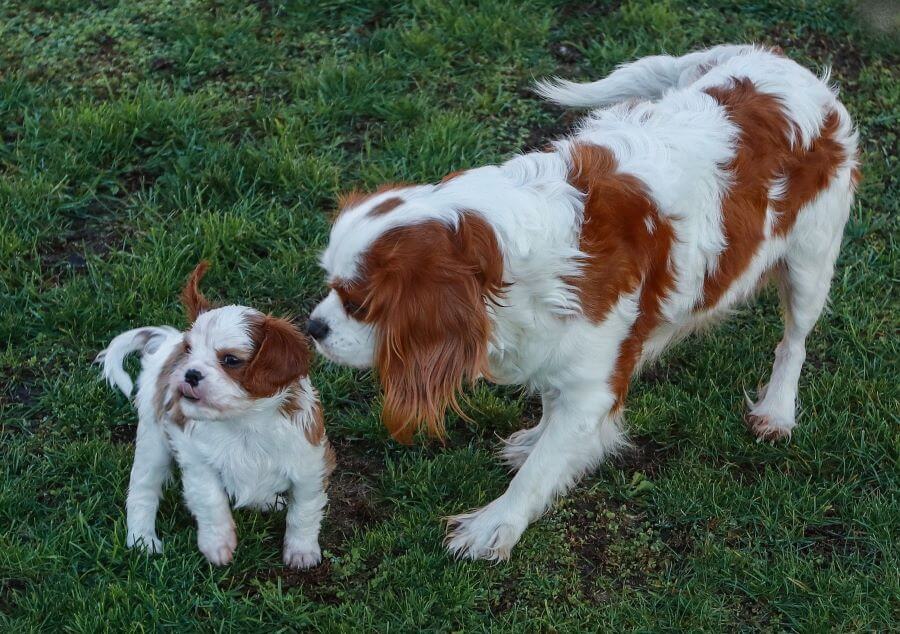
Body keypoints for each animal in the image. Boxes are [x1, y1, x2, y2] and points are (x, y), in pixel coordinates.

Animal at [98, 260, 336, 564]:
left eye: (230, 360)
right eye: (189, 350)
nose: (190, 373)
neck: (244, 421)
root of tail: (169, 341)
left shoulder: (310, 465)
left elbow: (303, 511)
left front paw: (301, 551)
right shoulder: (195, 457)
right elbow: (211, 501)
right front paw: (217, 543)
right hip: (153, 440)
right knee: (143, 490)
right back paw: (142, 540)